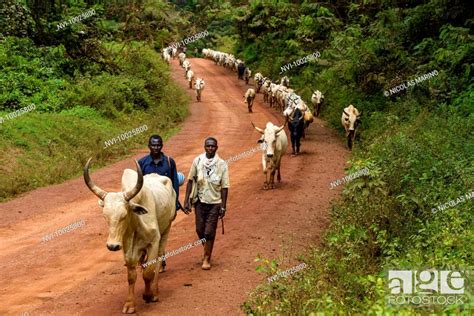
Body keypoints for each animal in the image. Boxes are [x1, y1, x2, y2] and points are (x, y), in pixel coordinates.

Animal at [84, 159, 176, 314]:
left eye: (124, 215)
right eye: (105, 217)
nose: (112, 246)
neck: (136, 225)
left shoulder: (154, 241)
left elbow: (148, 272)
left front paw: (148, 295)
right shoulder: (127, 248)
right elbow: (131, 276)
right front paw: (129, 304)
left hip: (166, 230)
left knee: (158, 261)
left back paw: (155, 291)